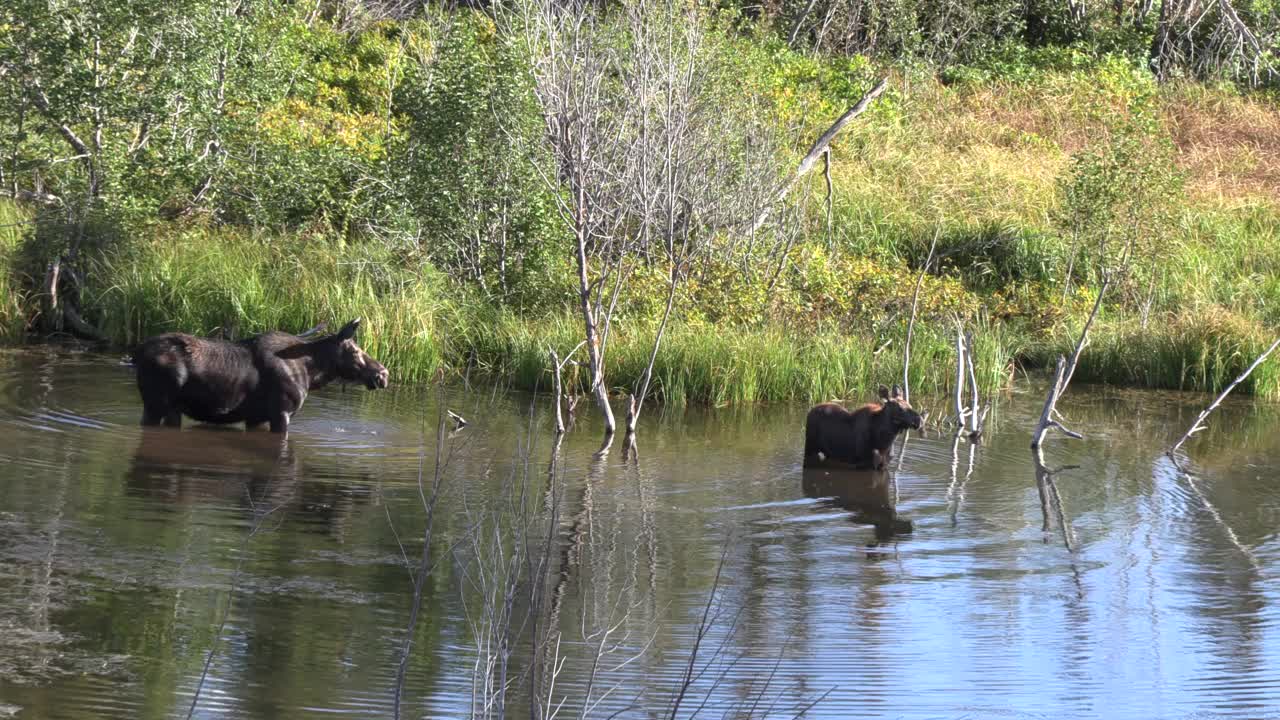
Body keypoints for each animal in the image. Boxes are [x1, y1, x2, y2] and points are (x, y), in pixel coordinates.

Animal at [130, 317, 391, 430]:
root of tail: (137, 352)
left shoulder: (255, 417)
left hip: (169, 408)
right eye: (355, 350)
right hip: (157, 404)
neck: (312, 374)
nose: (383, 373)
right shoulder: (281, 413)